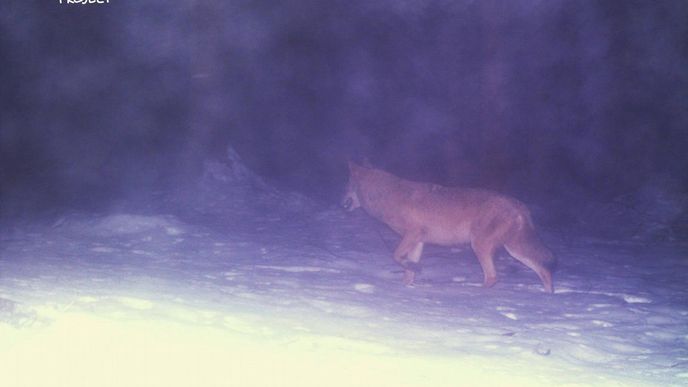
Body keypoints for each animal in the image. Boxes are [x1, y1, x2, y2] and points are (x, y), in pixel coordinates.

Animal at [342, 161, 556, 294]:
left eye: (347, 186)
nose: (340, 201)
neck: (386, 196)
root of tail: (520, 204)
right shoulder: (418, 242)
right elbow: (407, 272)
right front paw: (408, 287)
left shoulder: (412, 234)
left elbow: (395, 257)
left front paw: (413, 269)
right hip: (513, 250)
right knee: (543, 270)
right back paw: (548, 297)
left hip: (481, 246)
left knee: (493, 277)